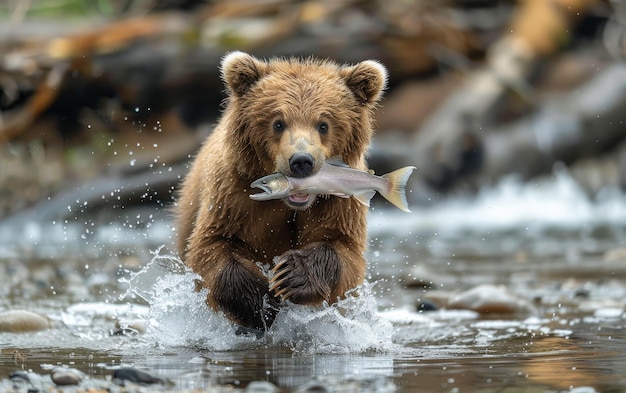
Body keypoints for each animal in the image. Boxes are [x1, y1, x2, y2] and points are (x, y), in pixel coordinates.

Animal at [174, 50, 386, 330]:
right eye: (278, 123)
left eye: (323, 124)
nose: (301, 161)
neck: (289, 203)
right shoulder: (232, 194)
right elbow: (211, 247)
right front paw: (260, 303)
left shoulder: (338, 202)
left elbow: (344, 252)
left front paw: (291, 275)